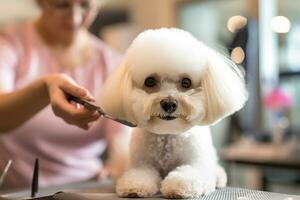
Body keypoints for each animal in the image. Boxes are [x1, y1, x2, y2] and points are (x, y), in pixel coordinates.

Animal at [99, 28, 247, 198]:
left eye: (186, 82)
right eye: (150, 81)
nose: (169, 103)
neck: (167, 135)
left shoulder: (196, 164)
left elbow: (189, 176)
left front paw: (178, 186)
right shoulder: (141, 163)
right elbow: (139, 175)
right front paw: (135, 186)